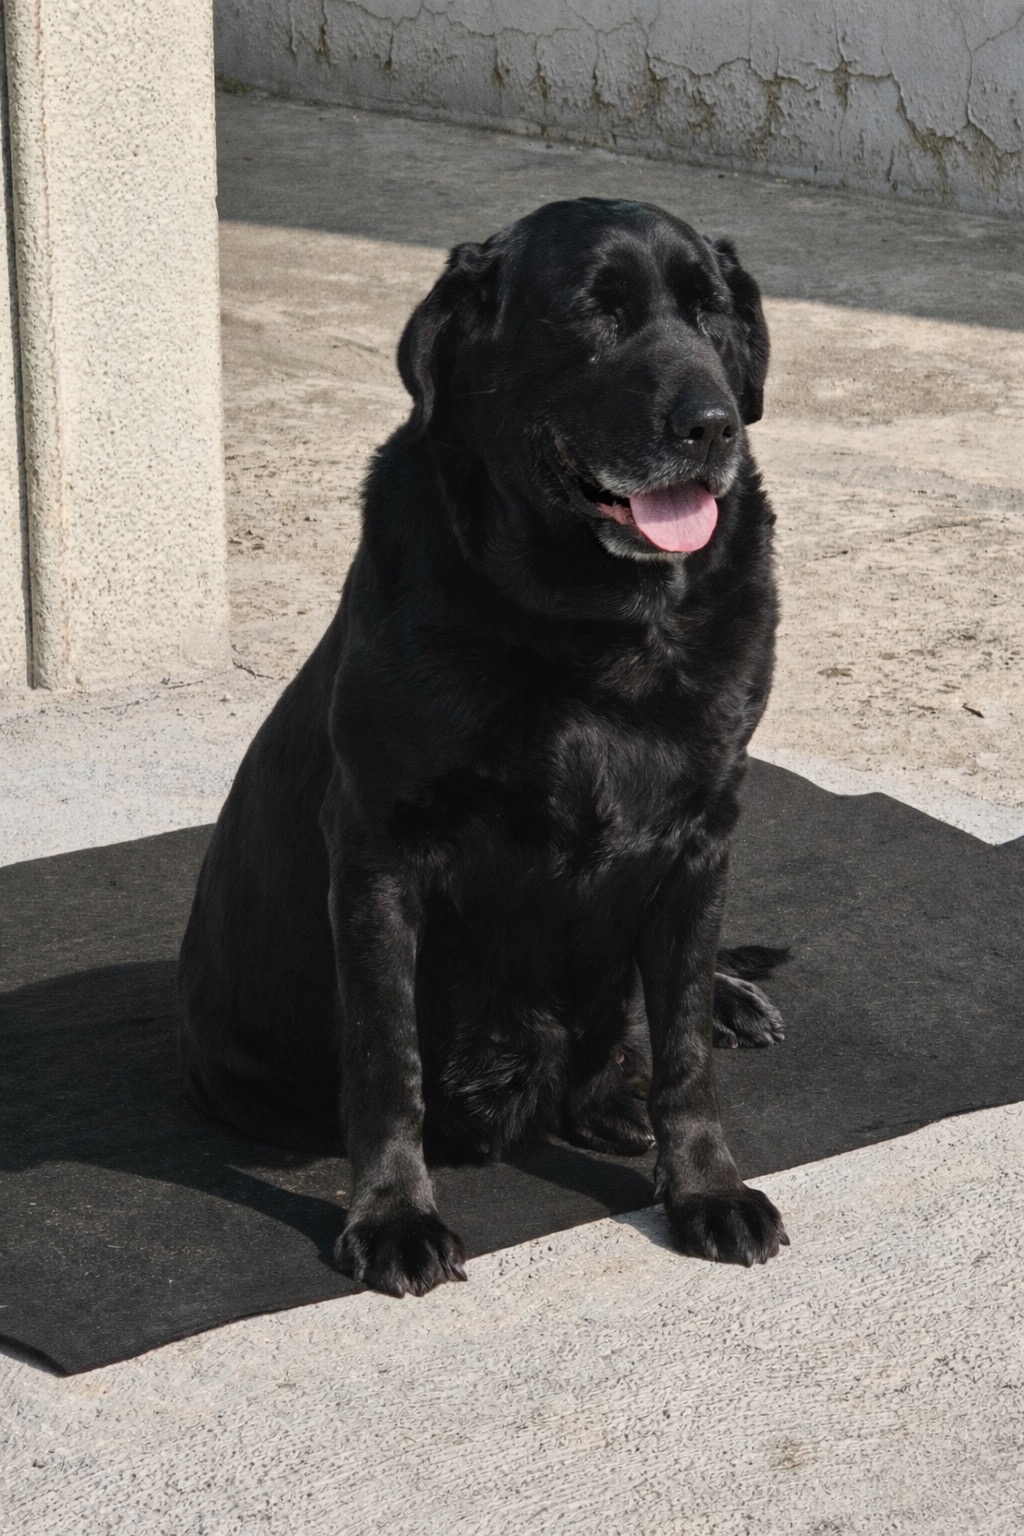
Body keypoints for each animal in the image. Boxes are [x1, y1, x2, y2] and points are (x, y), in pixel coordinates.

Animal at [179, 197, 789, 1298]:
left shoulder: (702, 836)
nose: (712, 423)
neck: (590, 623)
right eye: (594, 312)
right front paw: (392, 1215)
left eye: (713, 311)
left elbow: (684, 1047)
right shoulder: (378, 850)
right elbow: (387, 1062)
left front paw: (707, 1189)